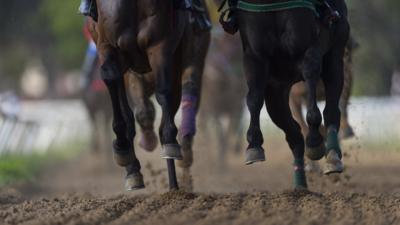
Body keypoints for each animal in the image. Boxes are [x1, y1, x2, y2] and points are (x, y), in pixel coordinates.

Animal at [88, 0, 211, 191]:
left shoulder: (160, 45)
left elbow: (164, 92)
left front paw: (170, 144)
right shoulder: (107, 43)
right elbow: (111, 75)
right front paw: (123, 150)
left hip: (191, 51)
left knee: (187, 87)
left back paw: (176, 181)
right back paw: (134, 169)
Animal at [236, 0, 348, 188]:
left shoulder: (309, 46)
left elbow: (310, 71)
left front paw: (314, 140)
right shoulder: (254, 55)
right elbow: (253, 98)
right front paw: (254, 145)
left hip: (335, 54)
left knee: (332, 109)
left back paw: (332, 156)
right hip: (277, 94)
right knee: (294, 134)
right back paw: (300, 186)